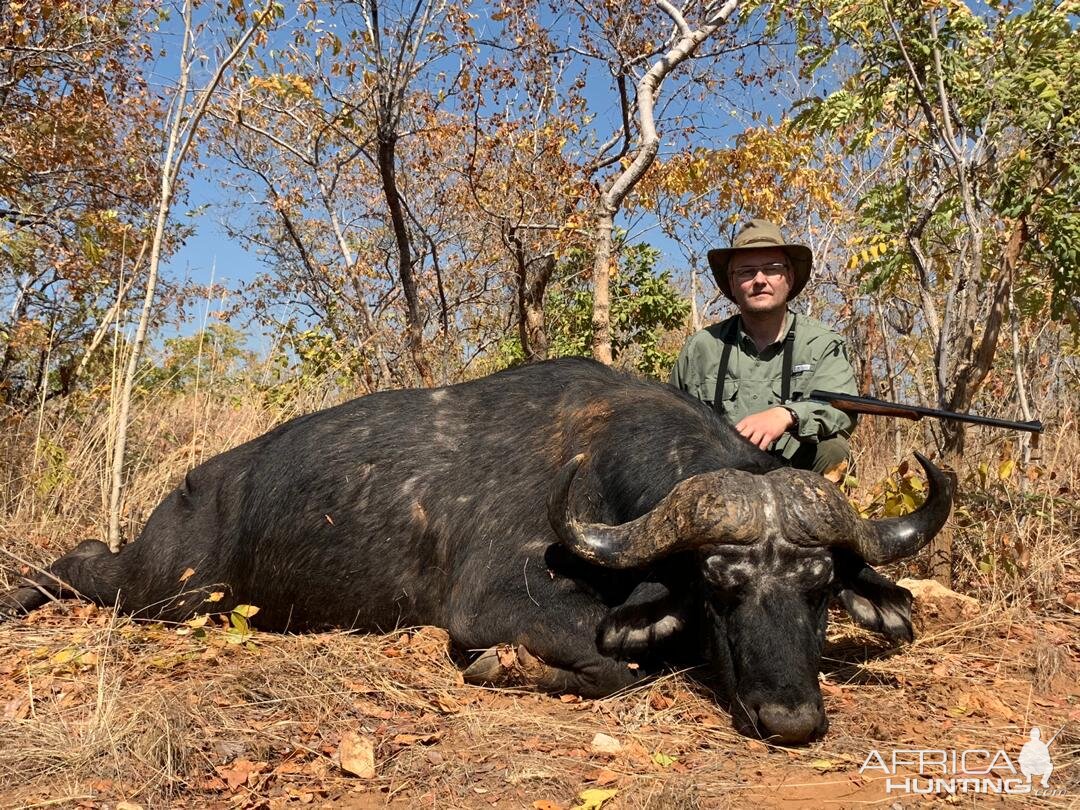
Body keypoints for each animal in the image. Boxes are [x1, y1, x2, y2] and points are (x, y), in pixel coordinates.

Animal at [0, 358, 950, 747]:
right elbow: (615, 668)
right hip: (163, 592)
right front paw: (502, 667)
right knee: (81, 557)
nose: (791, 721)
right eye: (719, 580)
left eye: (820, 589)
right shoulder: (499, 604)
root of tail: (196, 486)